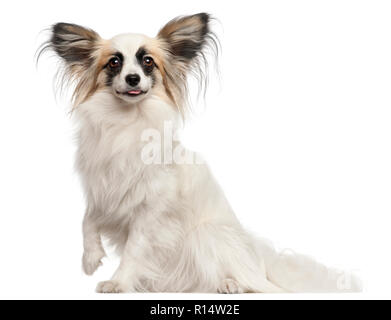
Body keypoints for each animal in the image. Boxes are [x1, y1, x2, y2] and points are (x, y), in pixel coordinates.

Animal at [38, 11, 362, 292]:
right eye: (114, 63)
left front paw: (118, 283)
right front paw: (91, 258)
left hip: (208, 235)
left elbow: (134, 249)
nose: (133, 79)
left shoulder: (150, 212)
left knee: (260, 285)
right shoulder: (104, 191)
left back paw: (231, 285)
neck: (126, 121)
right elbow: (88, 218)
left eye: (147, 62)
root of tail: (259, 262)